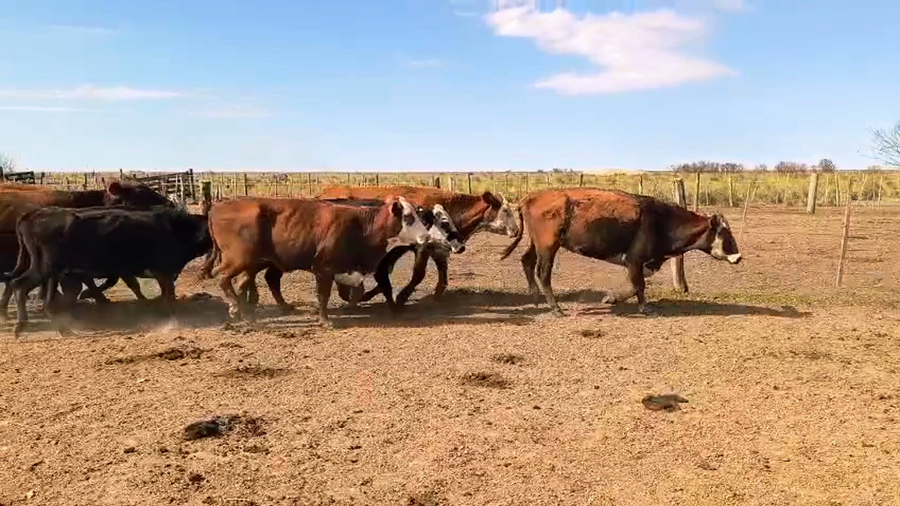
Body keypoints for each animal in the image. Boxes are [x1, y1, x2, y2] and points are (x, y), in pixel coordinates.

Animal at [2, 205, 212, 337]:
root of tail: (31, 215)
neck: (175, 228)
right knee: (22, 286)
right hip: (46, 268)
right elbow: (167, 294)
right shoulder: (162, 270)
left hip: (43, 268)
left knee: (21, 286)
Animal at [204, 196, 449, 325]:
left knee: (245, 282)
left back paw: (245, 312)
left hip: (253, 263)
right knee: (223, 277)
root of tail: (220, 205)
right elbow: (324, 294)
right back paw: (236, 307)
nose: (425, 237)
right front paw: (325, 319)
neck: (362, 226)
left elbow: (357, 291)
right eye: (408, 217)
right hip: (239, 259)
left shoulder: (349, 270)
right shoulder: (324, 268)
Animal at [312, 185, 519, 305]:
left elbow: (442, 270)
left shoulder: (438, 248)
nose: (517, 231)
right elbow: (418, 273)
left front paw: (437, 294)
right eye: (506, 210)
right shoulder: (421, 248)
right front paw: (401, 296)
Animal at [500, 188, 742, 315]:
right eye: (726, 234)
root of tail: (530, 197)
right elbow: (638, 286)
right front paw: (619, 301)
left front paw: (624, 300)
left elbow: (637, 286)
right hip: (548, 246)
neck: (660, 221)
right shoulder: (635, 259)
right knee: (543, 272)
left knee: (527, 261)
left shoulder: (640, 263)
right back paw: (556, 307)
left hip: (537, 244)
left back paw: (536, 297)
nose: (739, 257)